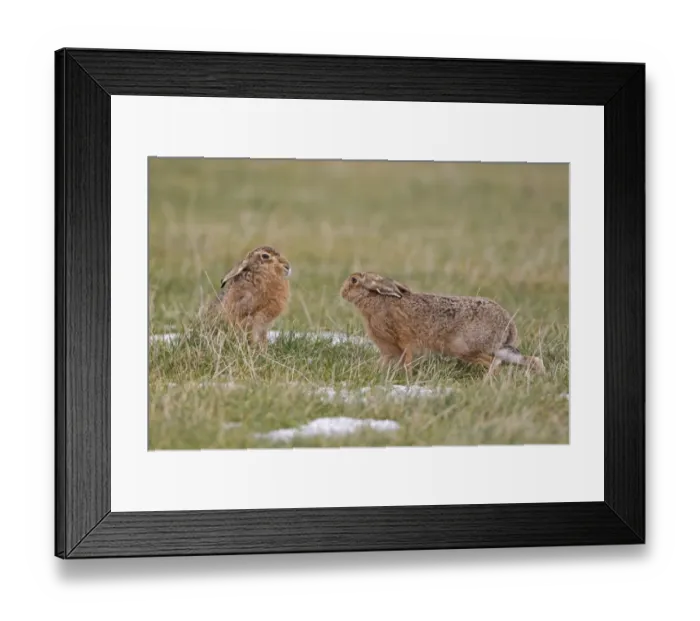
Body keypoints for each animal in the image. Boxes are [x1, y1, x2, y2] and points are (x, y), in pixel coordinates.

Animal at [339, 271, 545, 376]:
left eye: (354, 280)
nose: (342, 292)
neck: (377, 299)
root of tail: (508, 325)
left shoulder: (404, 341)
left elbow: (407, 358)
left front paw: (407, 377)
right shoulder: (388, 350)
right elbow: (383, 361)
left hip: (464, 347)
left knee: (494, 363)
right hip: (499, 348)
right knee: (527, 360)